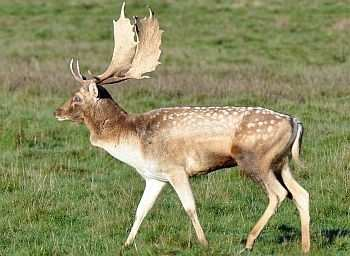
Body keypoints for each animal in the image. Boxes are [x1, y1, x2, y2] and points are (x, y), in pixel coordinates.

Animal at [55, 2, 312, 254]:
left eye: (77, 97)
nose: (57, 111)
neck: (134, 142)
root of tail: (294, 121)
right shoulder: (155, 177)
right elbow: (141, 210)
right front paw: (126, 244)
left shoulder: (176, 169)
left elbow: (189, 207)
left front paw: (204, 243)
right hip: (281, 162)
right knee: (301, 193)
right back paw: (305, 246)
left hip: (255, 159)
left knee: (279, 194)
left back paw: (249, 241)